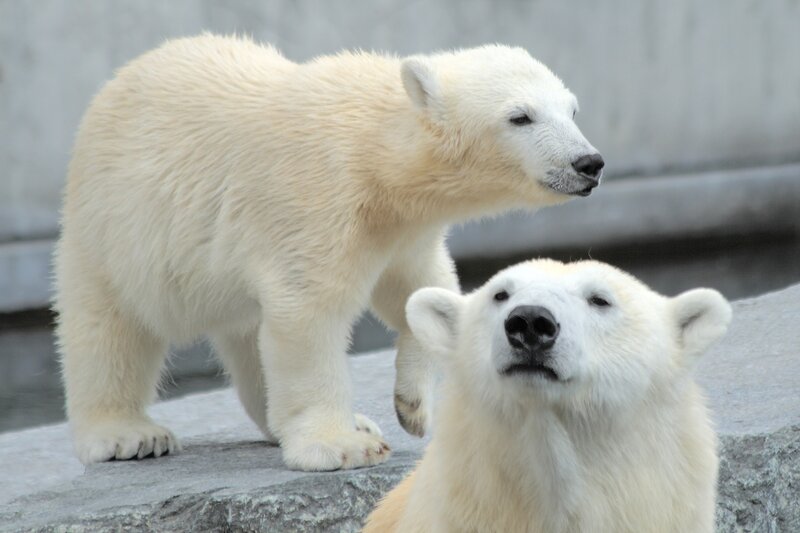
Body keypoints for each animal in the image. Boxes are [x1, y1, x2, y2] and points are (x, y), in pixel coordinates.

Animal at [54, 34, 605, 471]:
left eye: (573, 110)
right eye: (520, 116)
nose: (589, 163)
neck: (374, 155)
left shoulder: (400, 227)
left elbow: (420, 287)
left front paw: (410, 408)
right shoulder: (314, 197)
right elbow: (308, 312)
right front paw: (338, 445)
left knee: (250, 334)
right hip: (114, 229)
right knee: (107, 329)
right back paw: (127, 435)